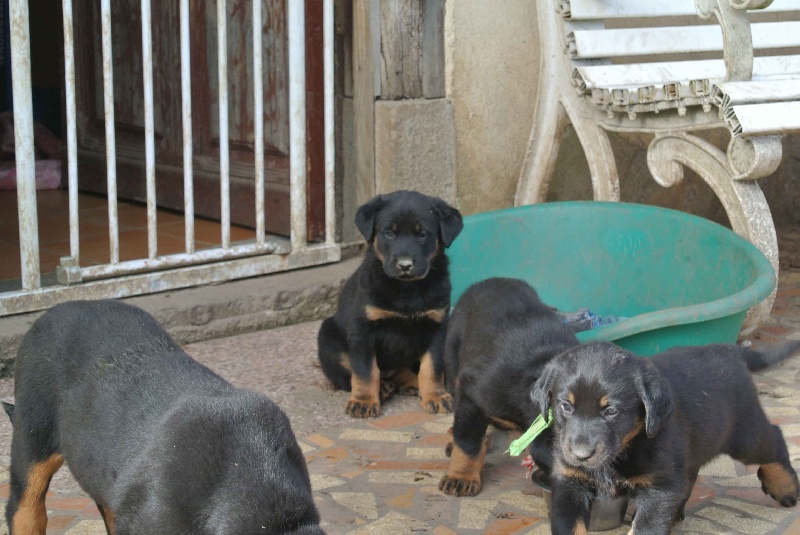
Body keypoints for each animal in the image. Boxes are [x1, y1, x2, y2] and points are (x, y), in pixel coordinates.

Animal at [316, 191, 460, 420]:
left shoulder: (437, 327)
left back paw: (410, 383)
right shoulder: (362, 329)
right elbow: (365, 370)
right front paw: (364, 401)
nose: (405, 265)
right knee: (345, 374)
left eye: (423, 234)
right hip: (328, 337)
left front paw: (436, 396)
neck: (407, 288)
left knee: (402, 370)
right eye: (389, 233)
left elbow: (432, 367)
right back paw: (382, 388)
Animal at [532, 342, 800, 532]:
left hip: (743, 436)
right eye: (566, 406)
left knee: (774, 438)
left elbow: (645, 527)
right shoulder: (569, 483)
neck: (627, 445)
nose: (581, 455)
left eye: (611, 411)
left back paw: (785, 488)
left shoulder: (660, 489)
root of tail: (729, 349)